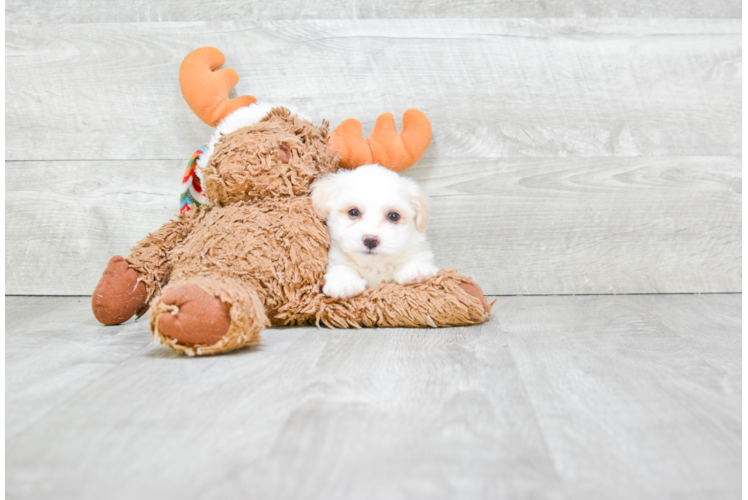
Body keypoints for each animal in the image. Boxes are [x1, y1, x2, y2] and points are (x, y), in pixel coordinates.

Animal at [310, 164, 438, 298]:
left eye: (393, 216)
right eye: (353, 212)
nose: (371, 240)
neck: (374, 265)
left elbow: (418, 257)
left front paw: (416, 269)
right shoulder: (336, 258)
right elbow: (341, 267)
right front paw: (344, 282)